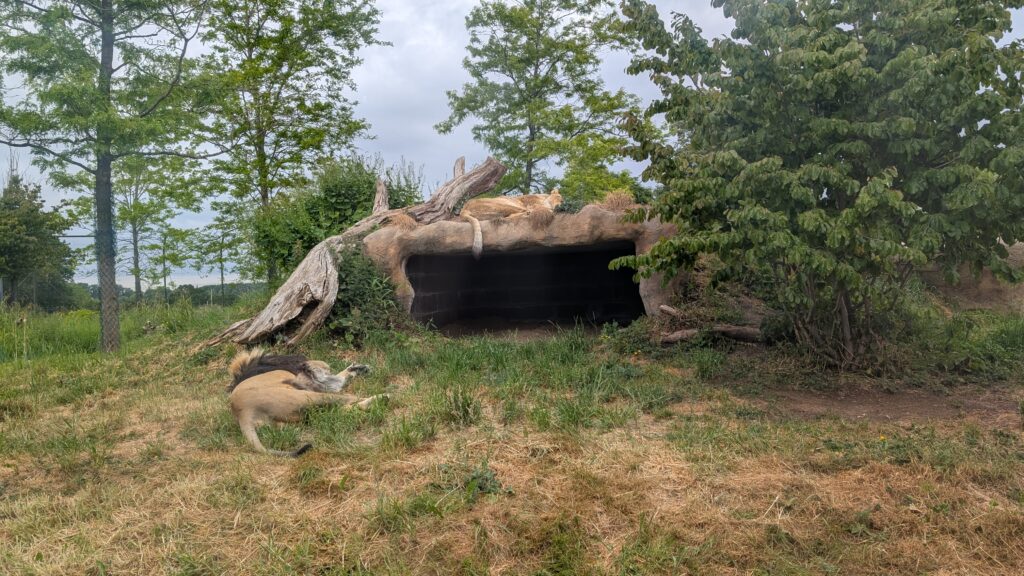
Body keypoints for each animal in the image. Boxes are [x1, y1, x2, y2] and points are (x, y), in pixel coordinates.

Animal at [227, 349, 388, 457]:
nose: (305, 364)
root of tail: (242, 413)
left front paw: (358, 368)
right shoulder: (314, 382)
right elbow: (336, 379)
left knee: (339, 410)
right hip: (306, 396)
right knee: (348, 400)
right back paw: (381, 398)